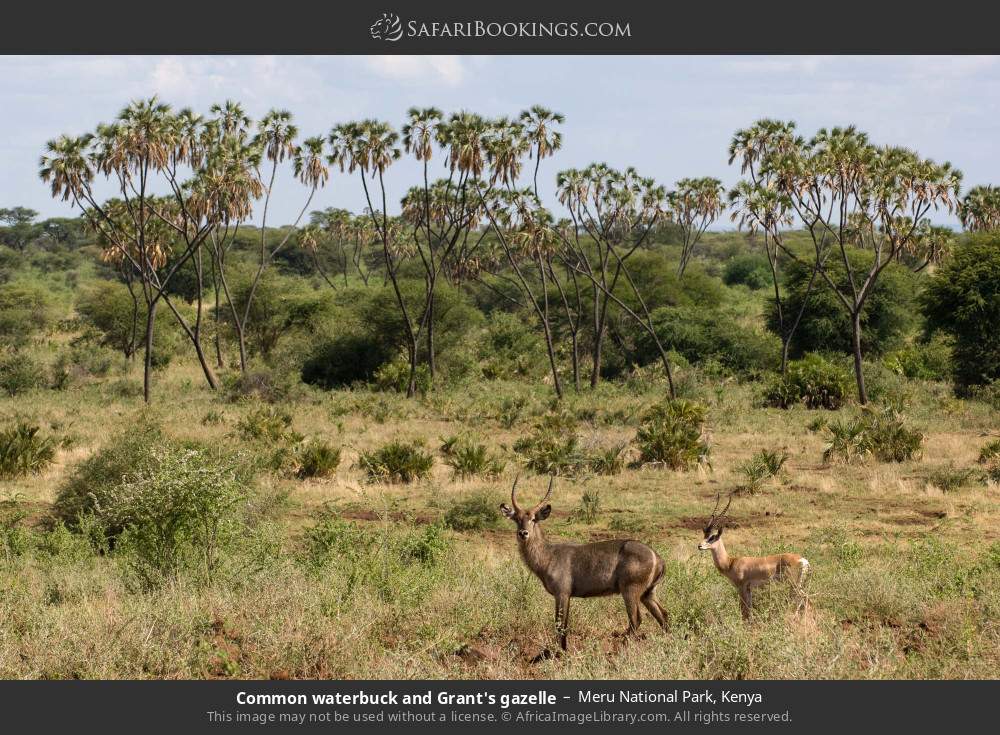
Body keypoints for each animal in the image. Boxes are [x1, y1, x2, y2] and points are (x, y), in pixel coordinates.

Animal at [499, 475, 668, 651]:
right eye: (517, 519)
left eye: (533, 519)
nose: (523, 533)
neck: (548, 555)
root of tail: (658, 558)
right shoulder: (564, 595)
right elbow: (563, 624)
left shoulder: (562, 593)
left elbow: (560, 625)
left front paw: (560, 652)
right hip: (648, 593)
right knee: (663, 616)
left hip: (630, 590)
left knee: (636, 619)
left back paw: (620, 649)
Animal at [698, 492, 810, 621]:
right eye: (704, 535)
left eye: (712, 537)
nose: (699, 546)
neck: (730, 563)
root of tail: (803, 560)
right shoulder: (749, 589)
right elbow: (749, 608)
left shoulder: (741, 587)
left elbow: (743, 609)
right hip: (798, 584)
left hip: (793, 584)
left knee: (802, 597)